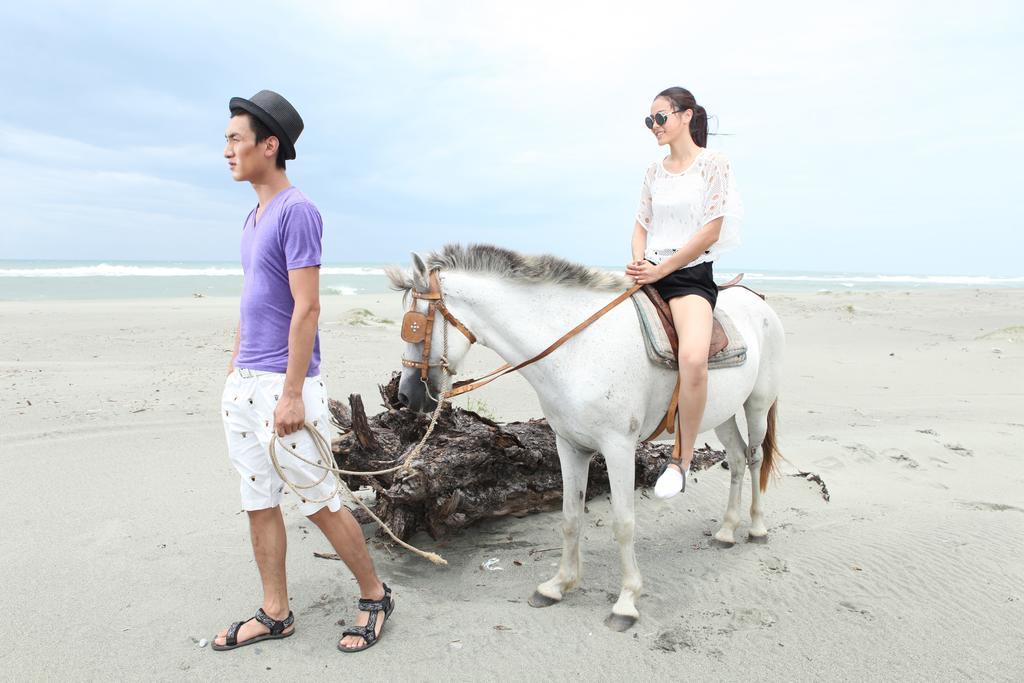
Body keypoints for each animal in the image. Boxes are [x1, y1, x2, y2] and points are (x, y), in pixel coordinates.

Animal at [387, 244, 786, 630]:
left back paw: (756, 527)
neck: (577, 349)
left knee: (754, 459)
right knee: (736, 459)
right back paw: (727, 531)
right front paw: (558, 585)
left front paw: (626, 601)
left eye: (415, 326)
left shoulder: (619, 448)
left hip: (756, 405)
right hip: (720, 412)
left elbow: (623, 524)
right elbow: (570, 517)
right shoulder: (569, 446)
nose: (405, 396)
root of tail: (757, 300)